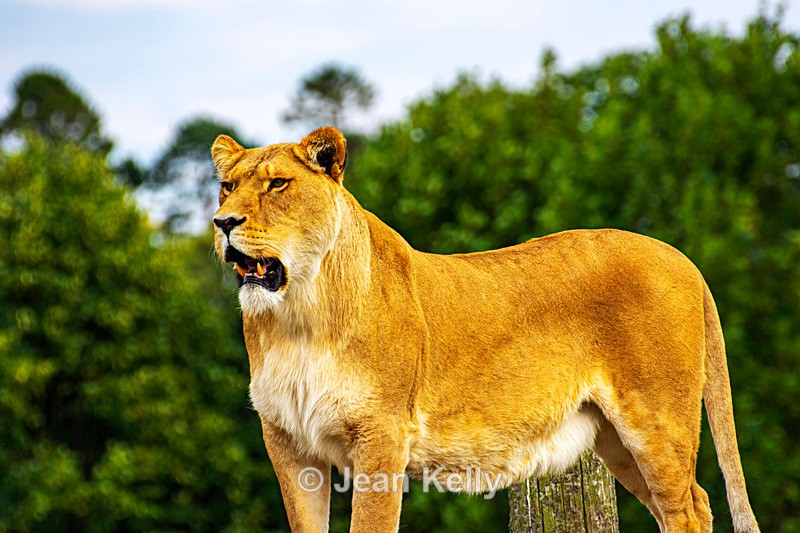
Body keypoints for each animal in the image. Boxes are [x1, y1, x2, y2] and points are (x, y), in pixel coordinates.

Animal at [211, 126, 759, 533]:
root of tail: (682, 258)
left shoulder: (381, 435)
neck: (299, 316)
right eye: (227, 187)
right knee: (688, 503)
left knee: (688, 507)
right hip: (614, 440)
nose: (222, 222)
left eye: (277, 185)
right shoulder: (287, 440)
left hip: (657, 420)